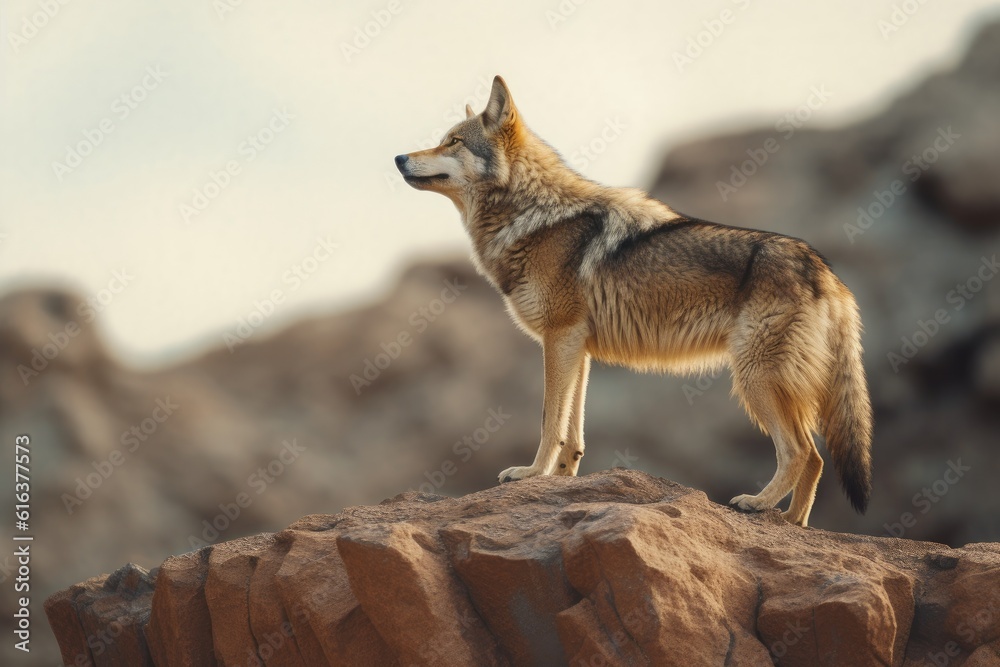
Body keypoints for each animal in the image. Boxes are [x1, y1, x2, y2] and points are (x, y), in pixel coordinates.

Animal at [394, 75, 872, 527]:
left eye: (453, 141)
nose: (398, 157)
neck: (533, 216)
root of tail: (825, 271)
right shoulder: (577, 347)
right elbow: (573, 431)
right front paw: (562, 481)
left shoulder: (559, 338)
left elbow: (550, 420)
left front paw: (530, 475)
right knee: (816, 458)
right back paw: (793, 523)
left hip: (755, 377)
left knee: (800, 452)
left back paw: (756, 504)